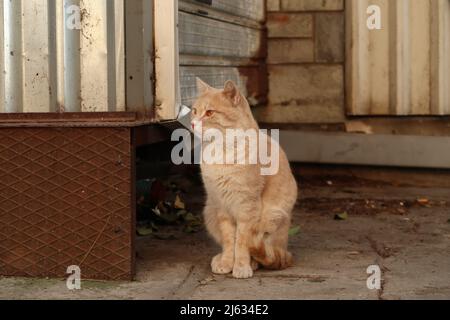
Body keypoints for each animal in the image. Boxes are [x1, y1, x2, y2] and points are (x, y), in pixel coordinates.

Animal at [191, 78, 298, 278]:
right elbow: (228, 241)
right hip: (209, 211)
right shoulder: (221, 205)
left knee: (265, 253)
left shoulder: (247, 207)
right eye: (194, 111)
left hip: (273, 215)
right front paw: (226, 262)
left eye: (209, 113)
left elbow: (241, 242)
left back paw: (254, 262)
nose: (193, 124)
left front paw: (241, 266)